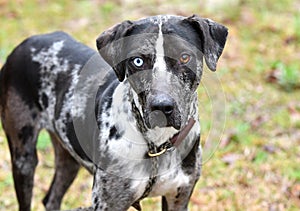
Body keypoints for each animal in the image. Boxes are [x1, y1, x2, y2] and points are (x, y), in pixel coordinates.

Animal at [0, 14, 227, 210]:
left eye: (185, 57)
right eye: (137, 61)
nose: (161, 106)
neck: (157, 145)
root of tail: (25, 43)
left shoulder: (179, 197)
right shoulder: (108, 203)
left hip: (69, 156)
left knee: (51, 198)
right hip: (24, 158)